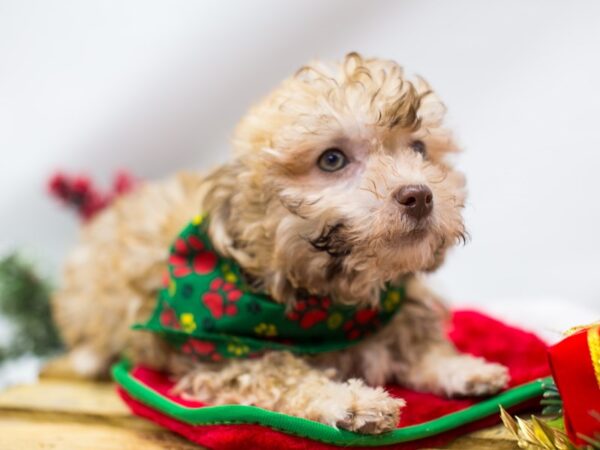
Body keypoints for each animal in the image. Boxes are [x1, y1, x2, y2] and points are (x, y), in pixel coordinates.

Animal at [54, 53, 508, 436]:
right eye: (332, 160)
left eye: (418, 148)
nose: (419, 196)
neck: (332, 302)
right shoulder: (227, 357)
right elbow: (283, 373)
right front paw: (351, 400)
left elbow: (417, 347)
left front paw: (462, 368)